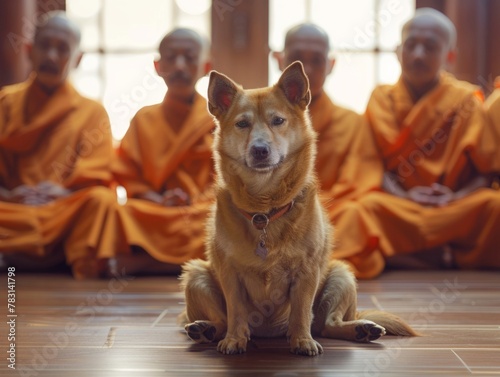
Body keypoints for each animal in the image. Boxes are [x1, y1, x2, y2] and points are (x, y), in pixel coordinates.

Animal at [178, 61, 416, 356]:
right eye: (242, 124)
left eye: (278, 121)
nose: (260, 149)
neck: (264, 211)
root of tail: (267, 333)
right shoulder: (230, 274)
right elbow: (235, 311)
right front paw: (234, 340)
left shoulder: (307, 273)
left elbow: (301, 311)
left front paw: (302, 341)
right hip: (195, 275)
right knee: (222, 321)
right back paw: (206, 329)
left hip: (341, 275)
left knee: (328, 324)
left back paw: (360, 329)